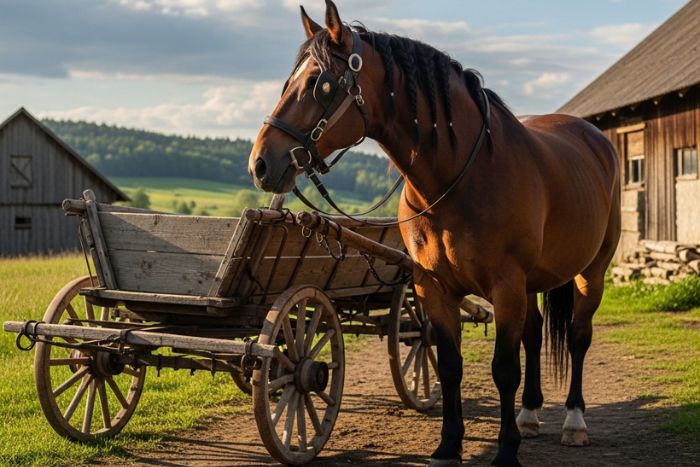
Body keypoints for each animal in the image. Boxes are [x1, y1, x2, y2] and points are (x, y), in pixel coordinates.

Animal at [248, 2, 621, 466]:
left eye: (319, 83)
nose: (261, 163)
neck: (460, 177)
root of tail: (594, 138)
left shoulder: (505, 287)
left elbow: (504, 370)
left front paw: (506, 451)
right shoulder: (433, 287)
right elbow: (449, 365)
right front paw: (448, 445)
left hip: (591, 272)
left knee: (577, 337)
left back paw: (574, 421)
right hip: (533, 283)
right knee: (534, 335)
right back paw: (530, 414)